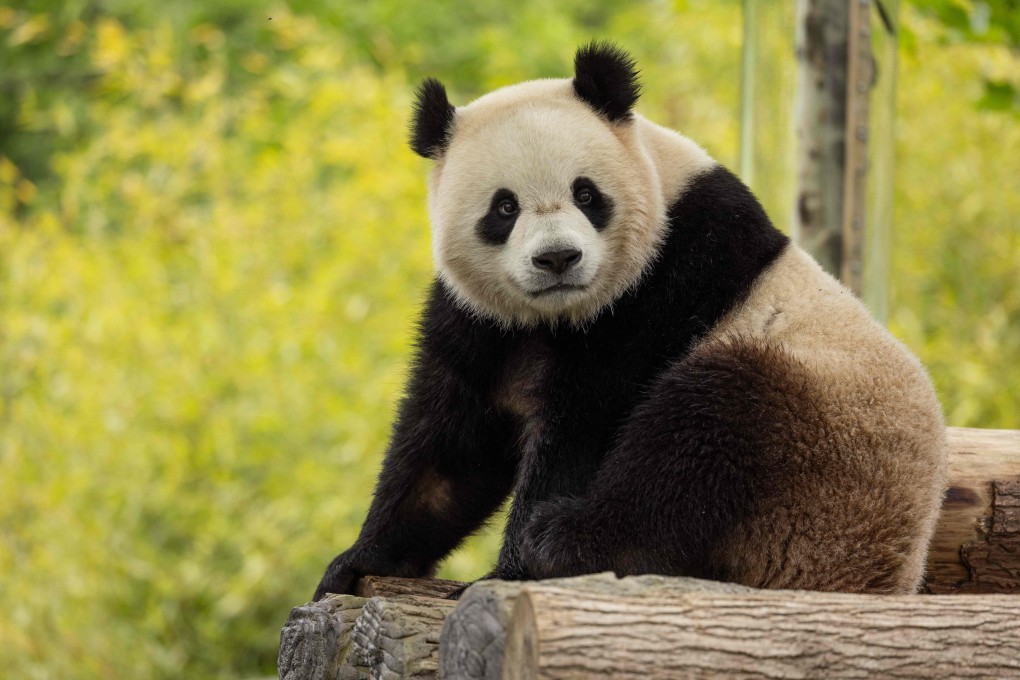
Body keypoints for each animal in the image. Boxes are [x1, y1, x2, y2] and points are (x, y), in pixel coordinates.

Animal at [313, 43, 948, 600]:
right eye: (504, 207)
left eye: (586, 194)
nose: (558, 258)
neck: (557, 315)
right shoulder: (482, 320)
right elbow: (452, 443)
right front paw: (357, 563)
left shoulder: (666, 280)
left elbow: (587, 425)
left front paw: (510, 571)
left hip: (821, 448)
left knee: (703, 433)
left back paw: (565, 540)